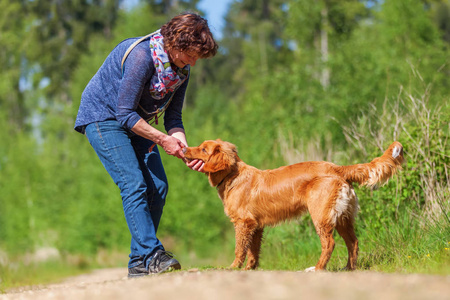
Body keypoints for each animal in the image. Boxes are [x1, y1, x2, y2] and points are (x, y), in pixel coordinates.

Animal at [183, 139, 404, 270]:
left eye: (203, 149)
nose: (183, 148)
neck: (232, 175)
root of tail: (338, 168)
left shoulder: (243, 224)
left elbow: (240, 249)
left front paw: (233, 268)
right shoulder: (257, 226)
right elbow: (253, 253)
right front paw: (249, 270)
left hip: (321, 216)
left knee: (330, 244)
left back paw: (318, 268)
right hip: (343, 217)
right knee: (353, 242)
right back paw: (348, 269)